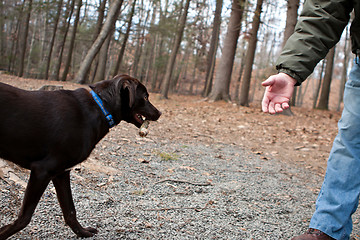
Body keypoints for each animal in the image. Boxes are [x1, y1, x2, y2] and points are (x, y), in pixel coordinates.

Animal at [0, 74, 162, 238]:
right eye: (145, 97)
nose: (159, 113)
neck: (101, 106)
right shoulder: (42, 171)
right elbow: (24, 217)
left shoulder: (61, 173)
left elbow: (70, 211)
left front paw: (82, 232)